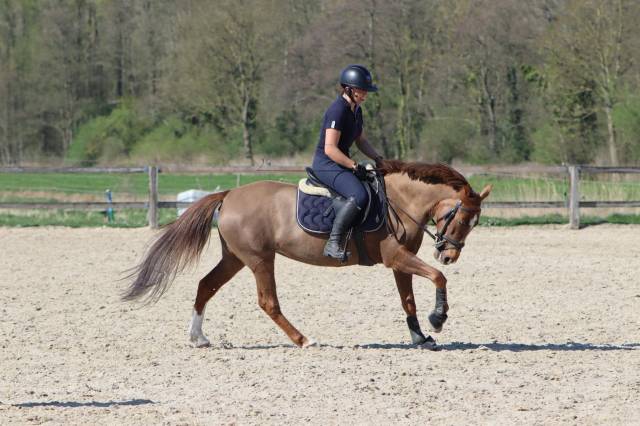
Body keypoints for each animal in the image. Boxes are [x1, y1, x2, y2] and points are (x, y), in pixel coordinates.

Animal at [123, 160, 491, 349]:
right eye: (462, 220)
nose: (449, 255)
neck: (399, 200)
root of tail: (228, 195)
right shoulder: (395, 258)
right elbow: (437, 278)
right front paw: (438, 319)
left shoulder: (400, 263)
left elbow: (409, 301)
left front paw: (420, 336)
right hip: (260, 259)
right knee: (267, 302)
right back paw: (303, 339)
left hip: (236, 258)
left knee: (206, 285)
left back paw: (198, 337)